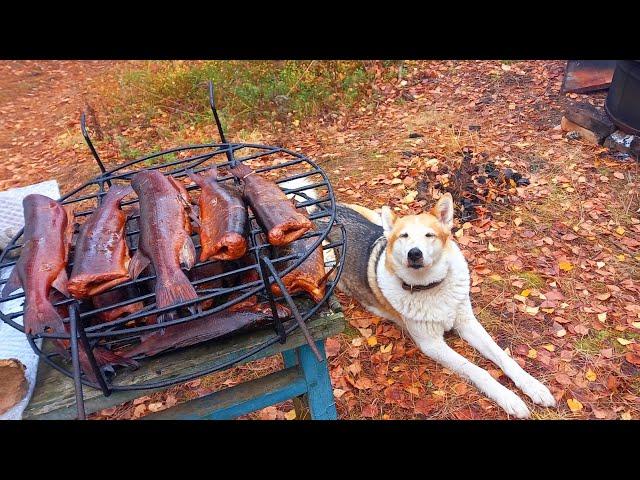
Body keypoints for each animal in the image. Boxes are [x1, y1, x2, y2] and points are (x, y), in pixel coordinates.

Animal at [330, 193, 556, 418]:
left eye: (429, 235)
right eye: (404, 236)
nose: (414, 253)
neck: (431, 286)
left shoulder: (467, 323)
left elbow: (503, 356)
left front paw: (533, 385)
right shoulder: (433, 344)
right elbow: (477, 370)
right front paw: (509, 398)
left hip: (375, 220)